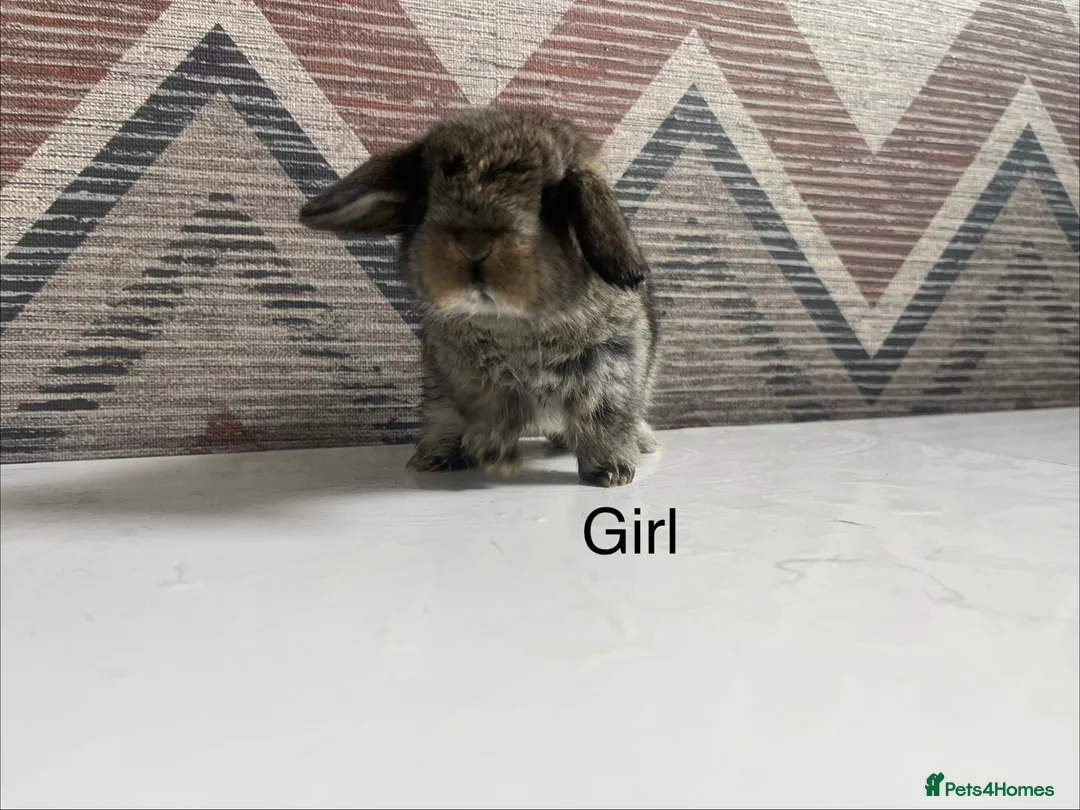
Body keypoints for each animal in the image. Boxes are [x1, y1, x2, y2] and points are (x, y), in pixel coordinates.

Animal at [299, 106, 660, 487]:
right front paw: (456, 455)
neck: (509, 327)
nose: (474, 243)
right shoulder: (455, 381)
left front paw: (610, 473)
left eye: (550, 201)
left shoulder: (610, 368)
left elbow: (605, 422)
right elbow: (460, 416)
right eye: (425, 198)